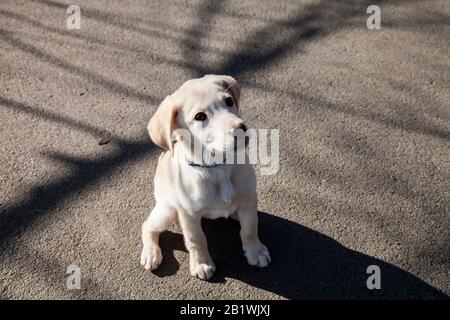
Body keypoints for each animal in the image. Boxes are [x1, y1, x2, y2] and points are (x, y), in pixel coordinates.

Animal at [141, 75, 268, 280]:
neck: (217, 167)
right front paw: (201, 263)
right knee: (148, 226)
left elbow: (250, 227)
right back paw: (151, 254)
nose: (241, 128)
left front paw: (255, 252)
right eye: (200, 117)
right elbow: (196, 239)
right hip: (168, 209)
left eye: (229, 101)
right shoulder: (188, 213)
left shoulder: (249, 198)